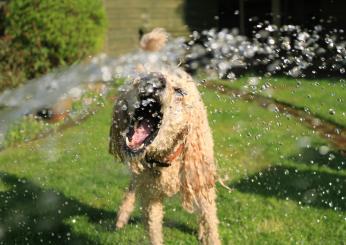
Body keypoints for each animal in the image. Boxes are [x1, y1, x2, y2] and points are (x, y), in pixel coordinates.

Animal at [109, 29, 222, 245]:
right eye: (140, 79)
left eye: (179, 91)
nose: (155, 80)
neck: (167, 158)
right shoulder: (150, 197)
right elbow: (153, 230)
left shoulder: (200, 181)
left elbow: (210, 223)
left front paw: (206, 234)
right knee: (132, 187)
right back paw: (121, 216)